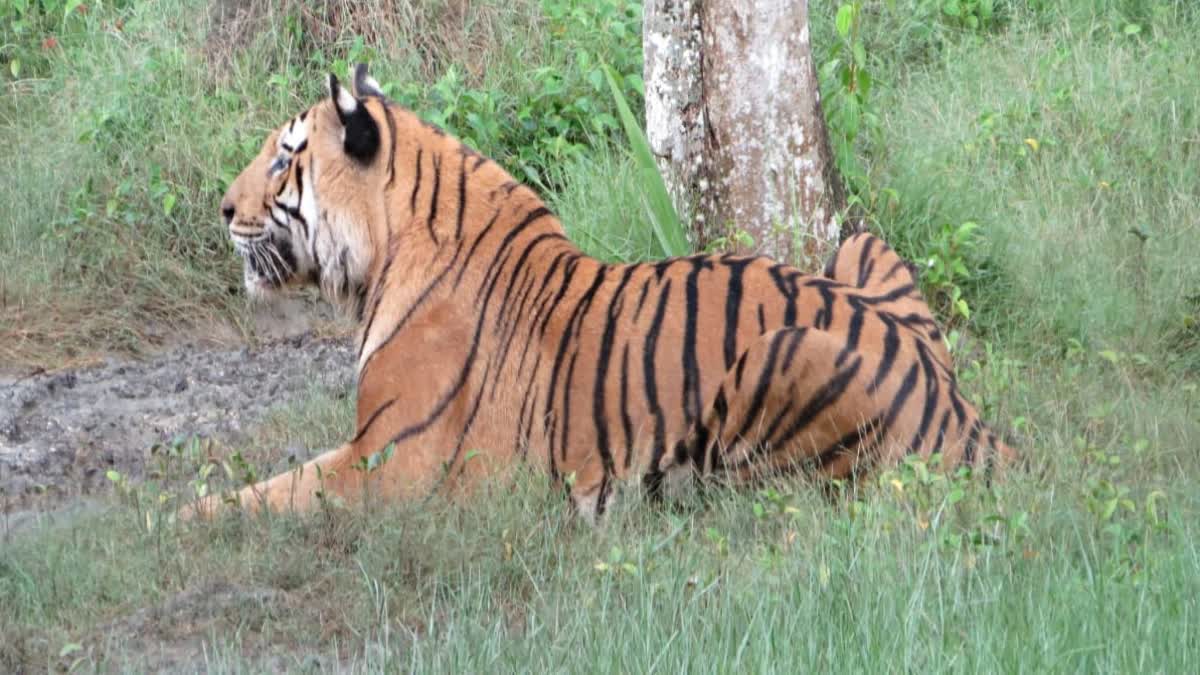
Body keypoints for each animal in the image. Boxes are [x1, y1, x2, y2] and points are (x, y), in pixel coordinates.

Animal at [188, 64, 1017, 523]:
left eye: (282, 158)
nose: (222, 209)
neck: (384, 253)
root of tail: (965, 415)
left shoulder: (391, 462)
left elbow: (267, 496)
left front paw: (169, 520)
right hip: (857, 245)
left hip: (786, 353)